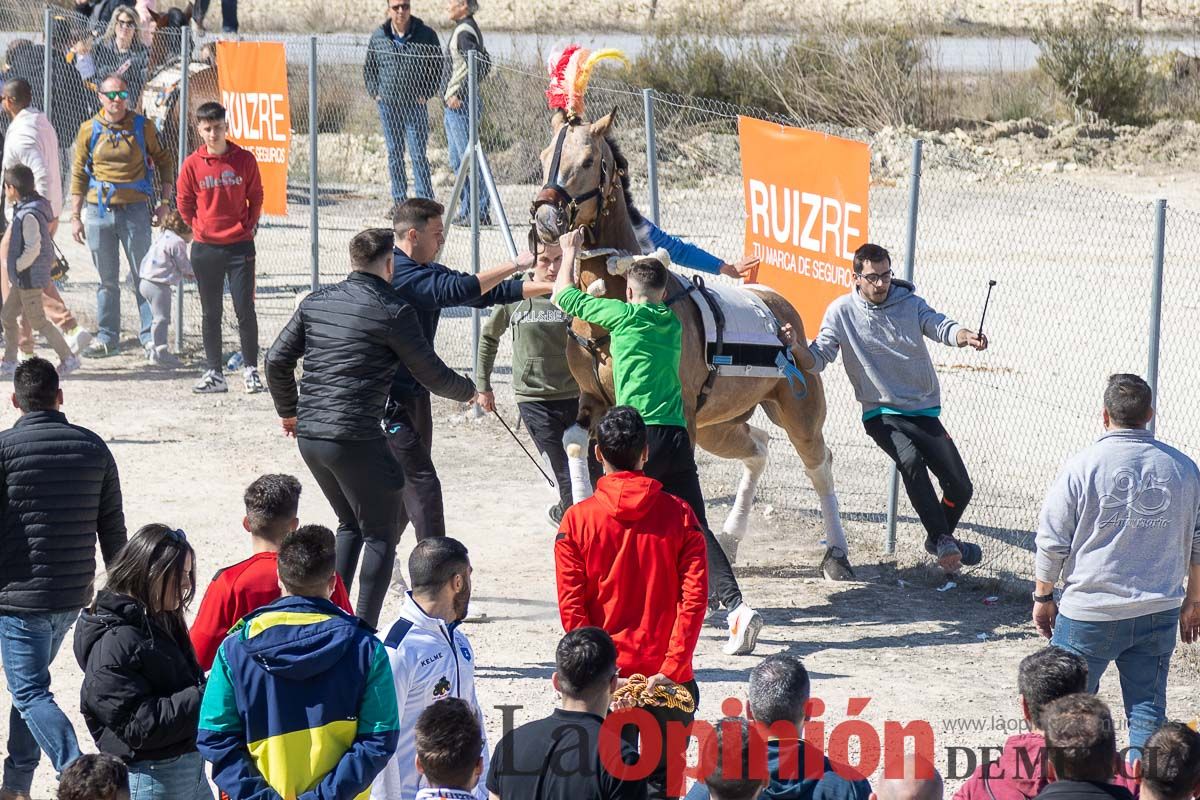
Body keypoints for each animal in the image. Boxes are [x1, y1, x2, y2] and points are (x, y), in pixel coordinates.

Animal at [532, 107, 854, 582]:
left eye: (588, 161)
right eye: (543, 159)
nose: (546, 218)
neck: (613, 303)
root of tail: (776, 306)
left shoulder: (674, 415)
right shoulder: (593, 400)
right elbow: (573, 440)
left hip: (799, 413)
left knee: (820, 465)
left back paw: (836, 554)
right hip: (719, 425)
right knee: (758, 448)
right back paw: (732, 539)